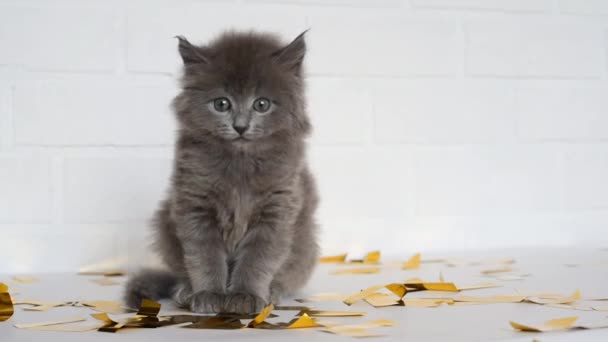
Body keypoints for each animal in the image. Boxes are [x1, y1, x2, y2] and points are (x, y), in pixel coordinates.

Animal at [126, 30, 320, 314]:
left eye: (262, 104)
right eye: (221, 104)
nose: (240, 126)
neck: (240, 162)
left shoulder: (277, 209)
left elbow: (257, 259)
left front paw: (245, 295)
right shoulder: (194, 205)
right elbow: (204, 256)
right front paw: (209, 294)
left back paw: (273, 292)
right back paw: (185, 291)